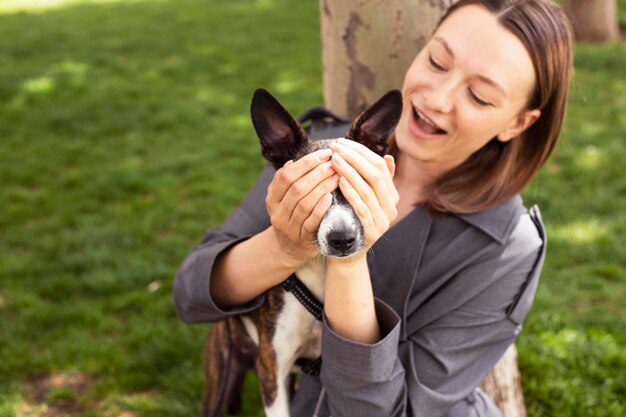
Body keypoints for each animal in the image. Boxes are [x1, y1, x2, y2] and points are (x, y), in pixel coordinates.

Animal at [202, 88, 402, 416]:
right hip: (222, 377)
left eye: (358, 189)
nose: (342, 239)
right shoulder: (273, 373)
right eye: (310, 194)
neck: (321, 274)